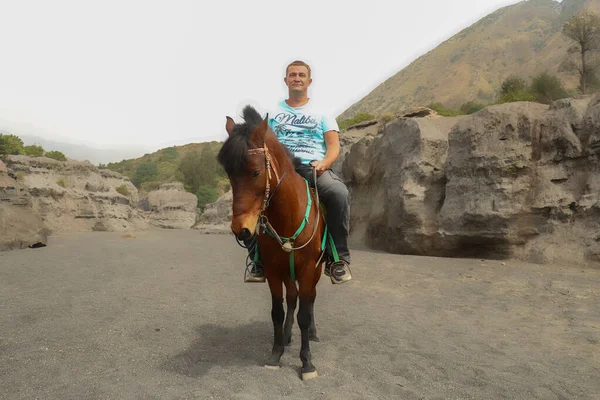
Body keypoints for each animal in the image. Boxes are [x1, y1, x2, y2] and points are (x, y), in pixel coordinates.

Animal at [217, 104, 326, 380]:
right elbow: (277, 312)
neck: (288, 216)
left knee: (310, 300)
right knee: (293, 298)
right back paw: (287, 336)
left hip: (317, 270)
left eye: (255, 172)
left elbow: (305, 314)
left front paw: (307, 363)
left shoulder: (307, 269)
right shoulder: (275, 271)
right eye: (229, 174)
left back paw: (312, 333)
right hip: (288, 271)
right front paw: (276, 354)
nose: (241, 230)